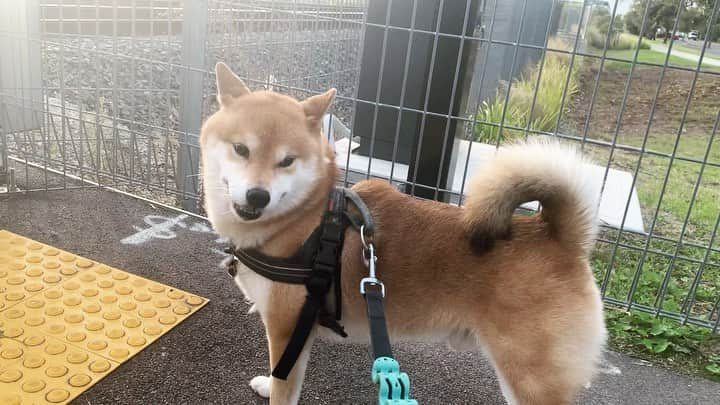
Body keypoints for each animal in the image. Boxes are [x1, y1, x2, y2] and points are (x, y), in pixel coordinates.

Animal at [201, 62, 608, 404]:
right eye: (241, 149)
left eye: (287, 161)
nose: (258, 195)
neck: (305, 218)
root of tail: (559, 236)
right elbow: (279, 375)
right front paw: (266, 383)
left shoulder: (287, 329)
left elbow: (284, 385)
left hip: (527, 378)